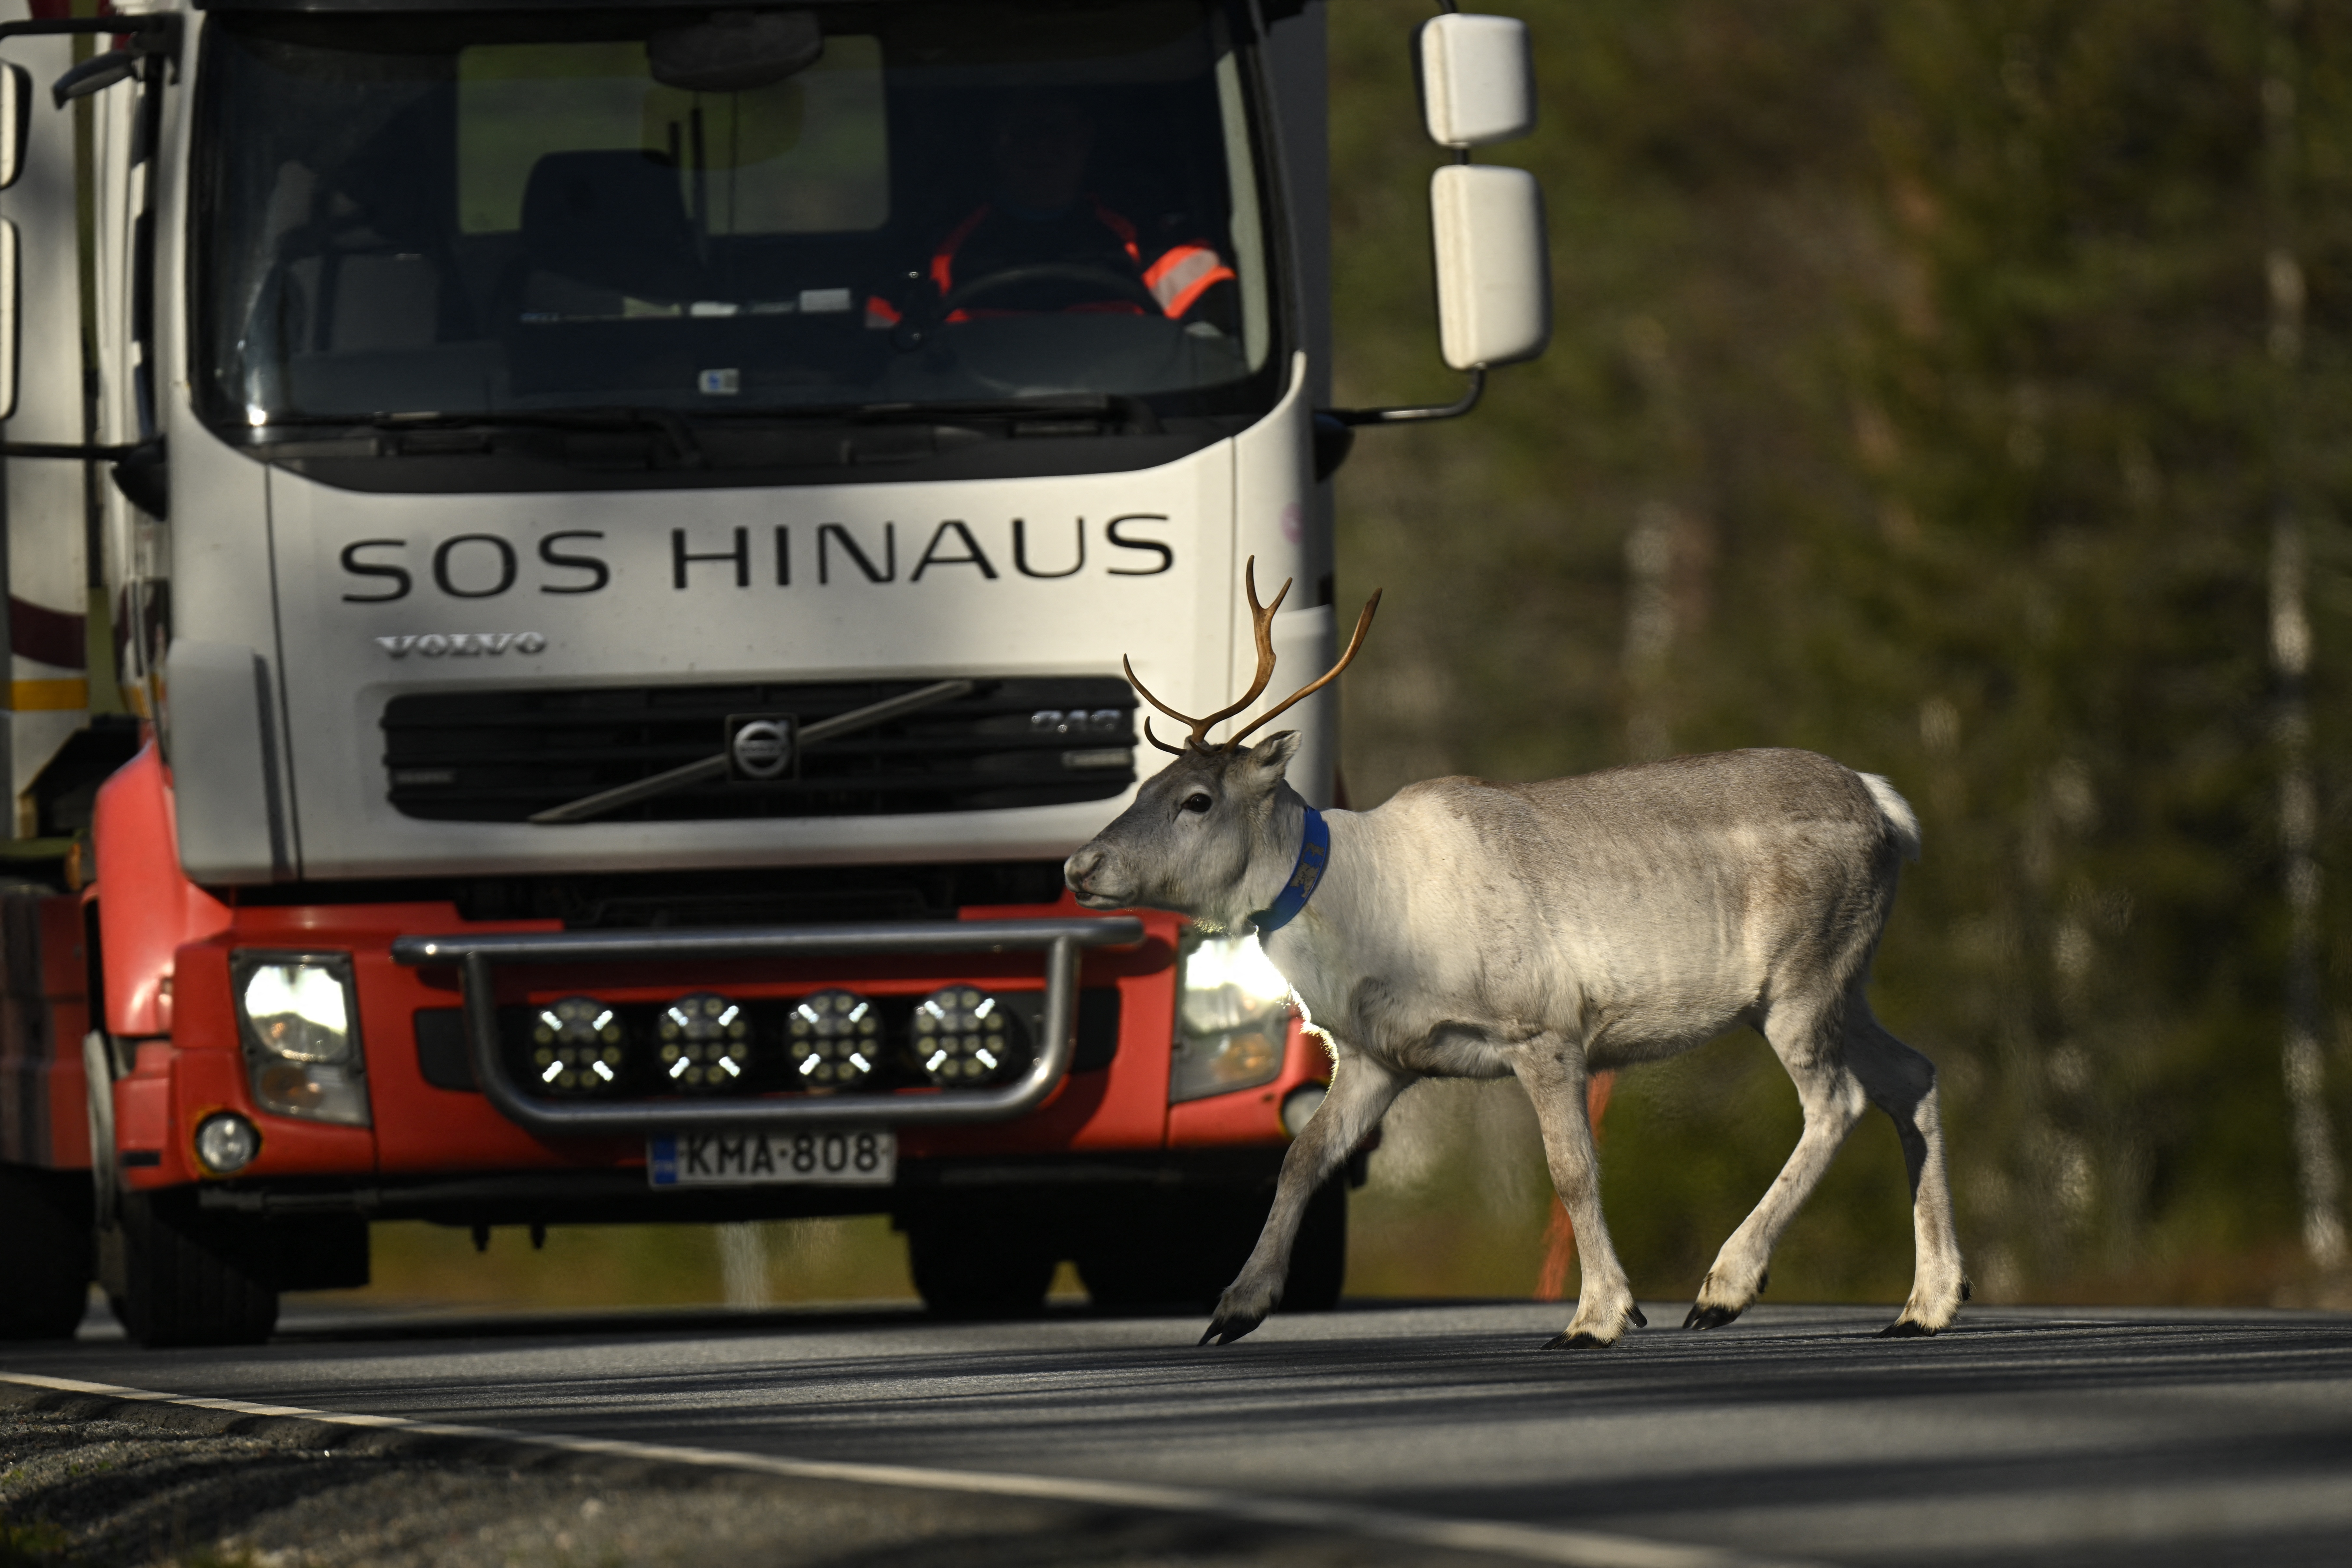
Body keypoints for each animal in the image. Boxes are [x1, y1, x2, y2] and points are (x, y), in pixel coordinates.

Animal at [1064, 562, 1966, 1348]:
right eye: (1142, 788)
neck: (1353, 901)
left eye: (1195, 798)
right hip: (1843, 983)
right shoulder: (1376, 1056)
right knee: (1910, 1074)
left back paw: (1724, 1287)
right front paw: (1234, 1306)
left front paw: (1598, 1315)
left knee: (1837, 1101)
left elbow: (1569, 1171)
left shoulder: (1544, 1029)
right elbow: (1301, 1158)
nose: (1080, 864)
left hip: (1800, 980)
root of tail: (1885, 806)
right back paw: (1925, 1303)